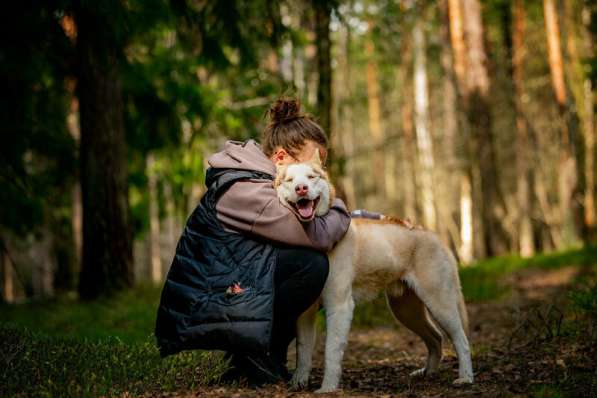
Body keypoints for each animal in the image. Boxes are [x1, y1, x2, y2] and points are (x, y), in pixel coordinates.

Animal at [276, 152, 474, 392]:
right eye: (290, 181)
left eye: (311, 177)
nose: (301, 189)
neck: (316, 235)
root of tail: (433, 235)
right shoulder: (306, 310)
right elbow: (303, 350)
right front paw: (298, 381)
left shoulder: (339, 305)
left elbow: (331, 351)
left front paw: (328, 388)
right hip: (406, 310)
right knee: (436, 338)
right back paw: (427, 373)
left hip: (440, 303)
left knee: (461, 340)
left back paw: (466, 378)